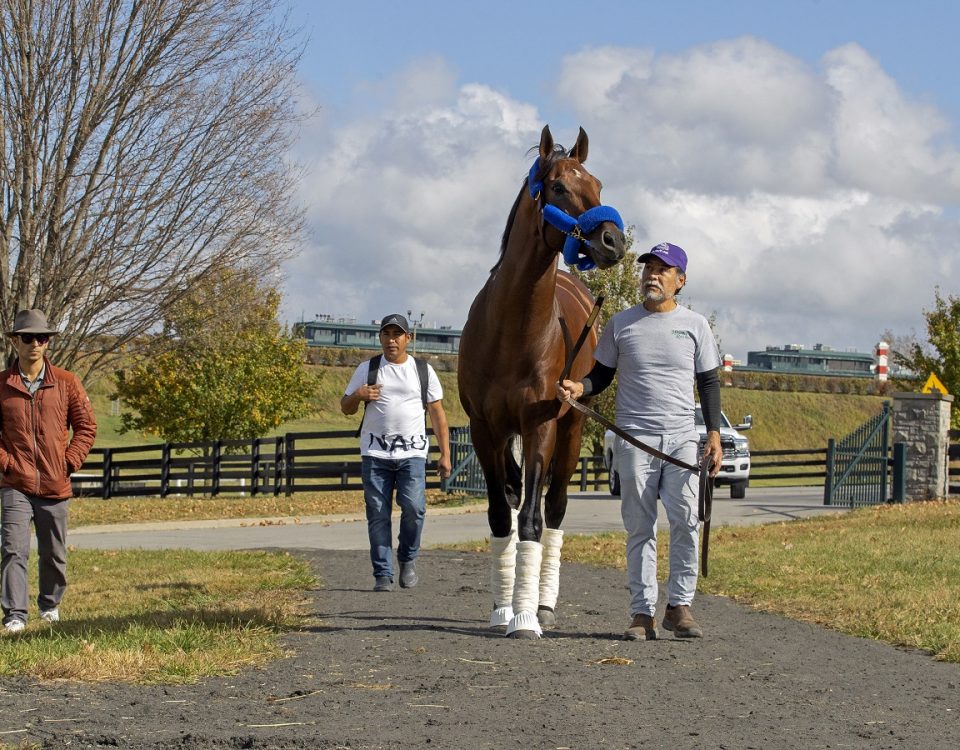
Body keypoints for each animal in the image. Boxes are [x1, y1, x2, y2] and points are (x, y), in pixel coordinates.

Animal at [460, 125, 628, 640]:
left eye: (598, 185)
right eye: (557, 187)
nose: (613, 240)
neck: (511, 331)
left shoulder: (541, 427)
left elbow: (533, 520)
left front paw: (525, 616)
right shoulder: (486, 430)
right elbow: (501, 515)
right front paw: (502, 607)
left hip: (570, 435)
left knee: (553, 508)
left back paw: (544, 602)